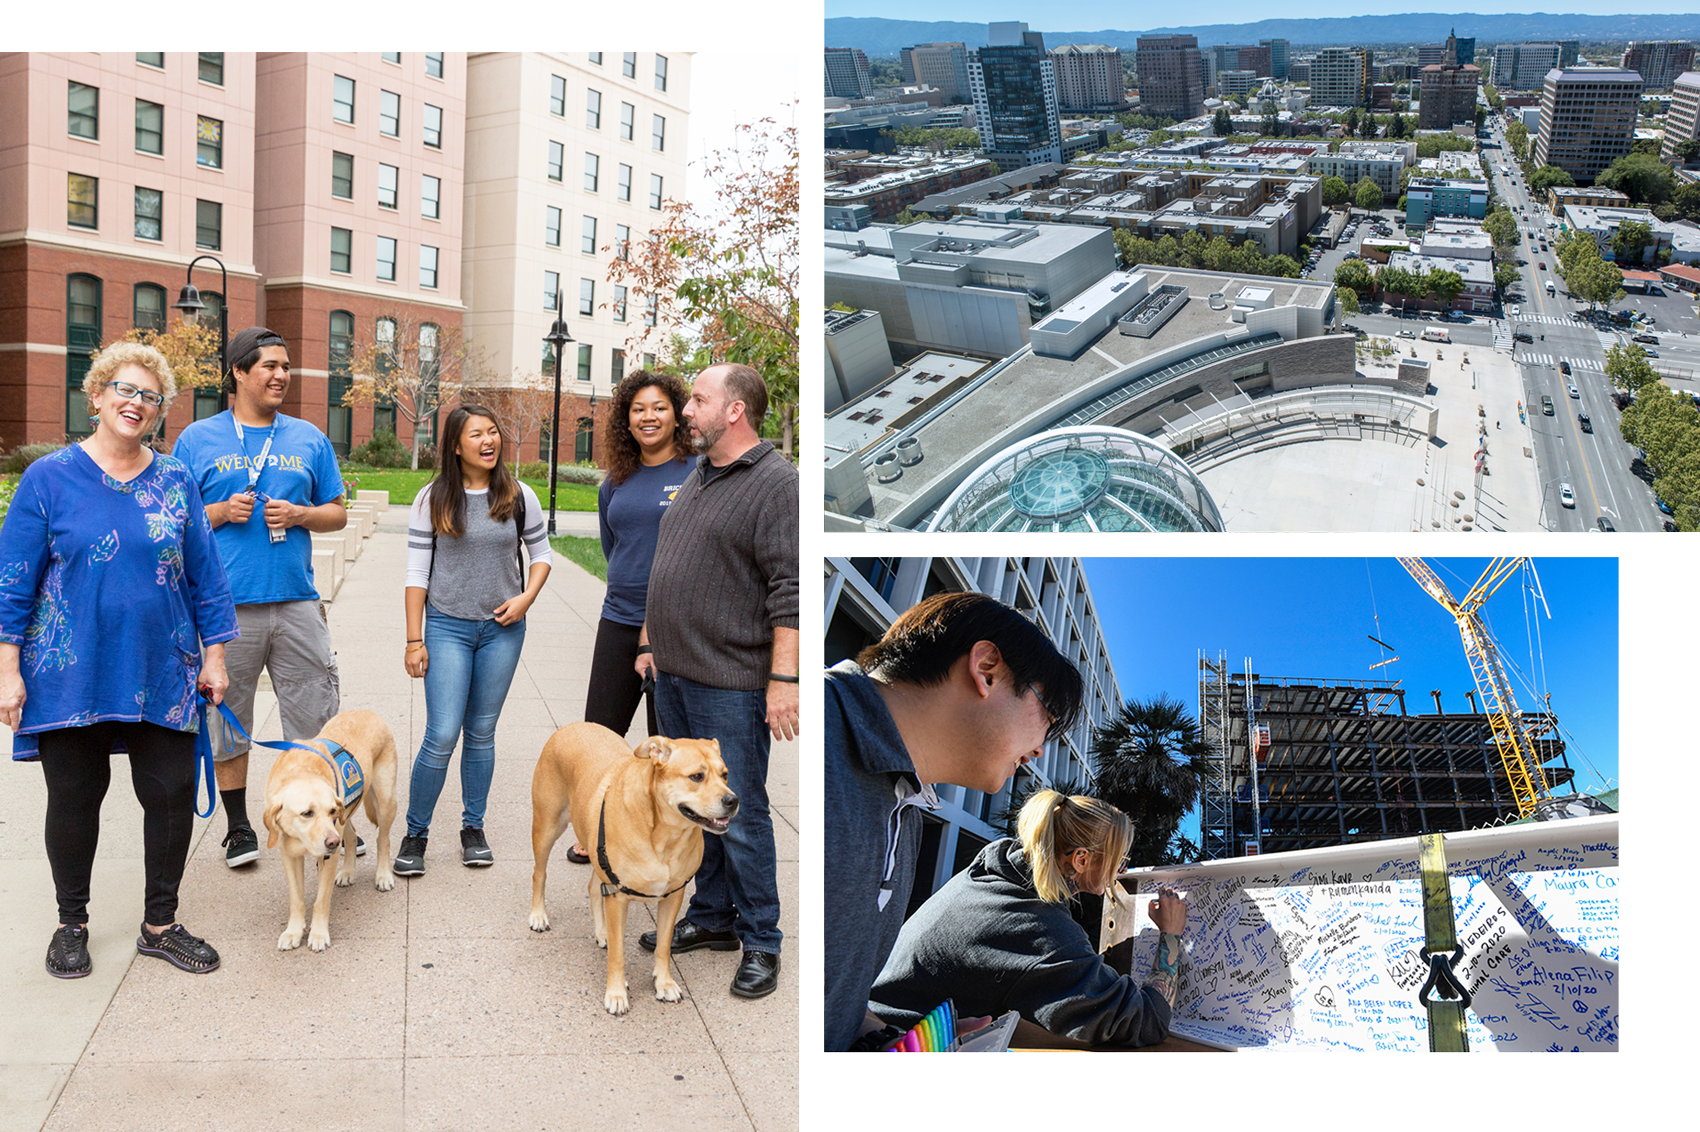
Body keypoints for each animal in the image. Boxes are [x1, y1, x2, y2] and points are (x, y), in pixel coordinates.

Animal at [260, 710, 399, 945]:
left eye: (331, 811)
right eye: (307, 813)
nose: (333, 843)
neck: (301, 771)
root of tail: (368, 712)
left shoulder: (329, 856)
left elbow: (321, 901)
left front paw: (318, 934)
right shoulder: (289, 856)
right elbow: (296, 899)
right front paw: (293, 932)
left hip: (384, 801)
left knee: (383, 840)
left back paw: (383, 875)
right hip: (346, 816)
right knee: (351, 836)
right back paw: (348, 871)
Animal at [530, 724, 737, 1013]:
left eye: (725, 775)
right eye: (697, 776)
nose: (733, 800)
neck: (665, 834)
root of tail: (573, 726)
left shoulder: (673, 896)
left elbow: (663, 946)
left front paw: (664, 983)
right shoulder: (617, 896)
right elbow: (618, 954)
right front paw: (616, 993)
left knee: (592, 887)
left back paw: (601, 932)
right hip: (548, 826)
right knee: (539, 873)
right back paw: (538, 915)